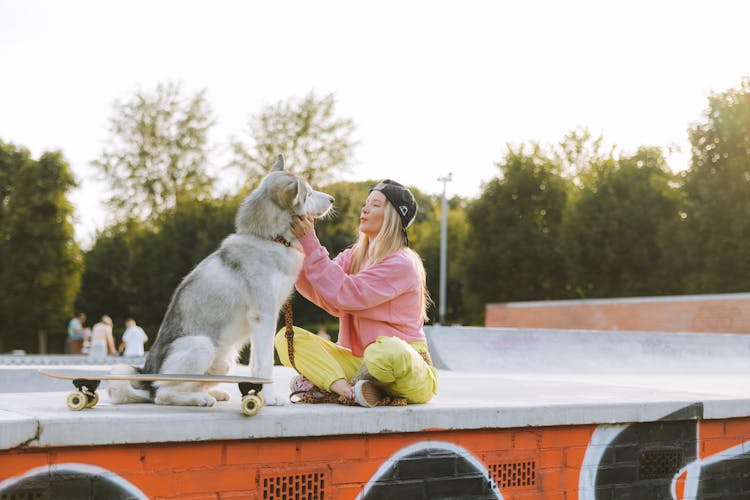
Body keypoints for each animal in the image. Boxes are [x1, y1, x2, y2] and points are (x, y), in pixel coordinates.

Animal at [109, 155, 334, 406]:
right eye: (309, 193)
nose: (333, 199)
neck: (269, 239)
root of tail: (147, 373)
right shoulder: (264, 316)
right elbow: (266, 365)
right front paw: (270, 398)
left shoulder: (263, 320)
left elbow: (256, 364)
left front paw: (259, 395)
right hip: (201, 345)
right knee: (162, 394)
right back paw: (198, 399)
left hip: (225, 361)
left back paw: (211, 393)